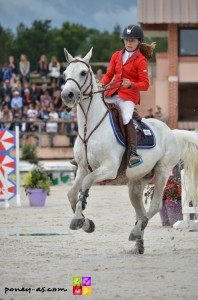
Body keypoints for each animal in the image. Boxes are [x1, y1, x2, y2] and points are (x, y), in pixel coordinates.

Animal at [61, 48, 198, 253]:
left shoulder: (108, 169)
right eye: (65, 73)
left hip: (162, 172)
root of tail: (170, 131)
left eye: (83, 73)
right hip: (137, 182)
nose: (67, 95)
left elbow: (86, 183)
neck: (89, 127)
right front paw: (87, 223)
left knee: (155, 205)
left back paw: (135, 233)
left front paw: (79, 218)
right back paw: (138, 241)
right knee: (140, 211)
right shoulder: (83, 168)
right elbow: (72, 193)